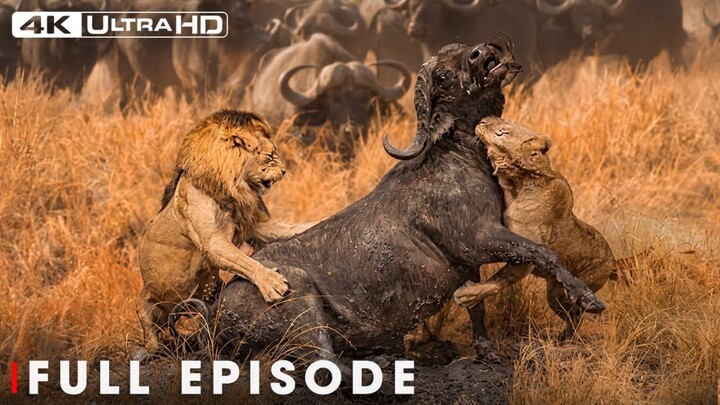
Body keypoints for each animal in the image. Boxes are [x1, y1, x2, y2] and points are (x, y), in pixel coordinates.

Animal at [135, 109, 314, 360]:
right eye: (270, 155)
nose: (285, 171)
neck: (236, 189)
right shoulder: (213, 242)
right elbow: (246, 263)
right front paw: (271, 283)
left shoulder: (256, 226)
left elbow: (292, 229)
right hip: (146, 306)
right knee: (152, 338)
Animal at [453, 117, 616, 340]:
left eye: (503, 132)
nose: (482, 121)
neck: (518, 184)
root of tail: (613, 262)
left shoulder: (524, 257)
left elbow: (499, 281)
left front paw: (467, 295)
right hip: (554, 296)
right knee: (572, 313)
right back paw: (562, 338)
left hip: (582, 282)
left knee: (577, 311)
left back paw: (565, 338)